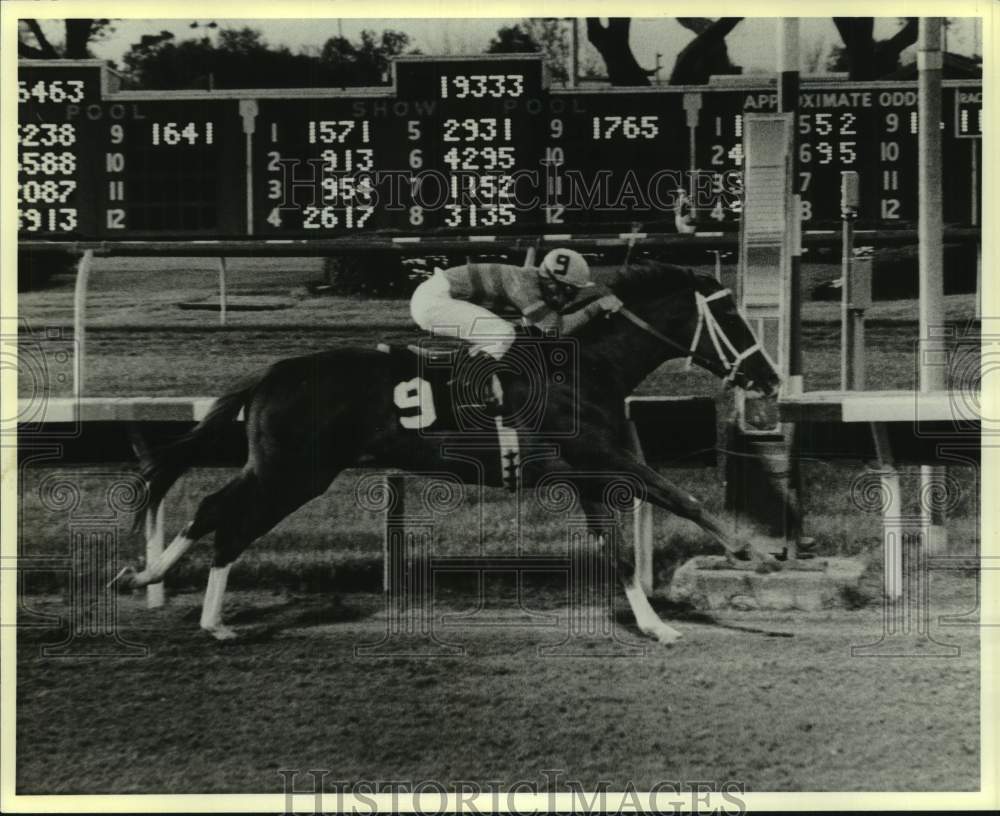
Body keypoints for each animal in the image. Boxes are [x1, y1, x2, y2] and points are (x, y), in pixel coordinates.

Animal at [111, 262, 780, 644]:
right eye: (732, 318)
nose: (769, 379)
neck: (588, 368)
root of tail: (271, 374)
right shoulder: (606, 458)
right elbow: (683, 497)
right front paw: (753, 551)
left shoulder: (591, 475)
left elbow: (616, 550)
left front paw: (656, 625)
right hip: (294, 472)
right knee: (229, 521)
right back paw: (210, 618)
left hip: (278, 468)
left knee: (212, 509)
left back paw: (152, 578)